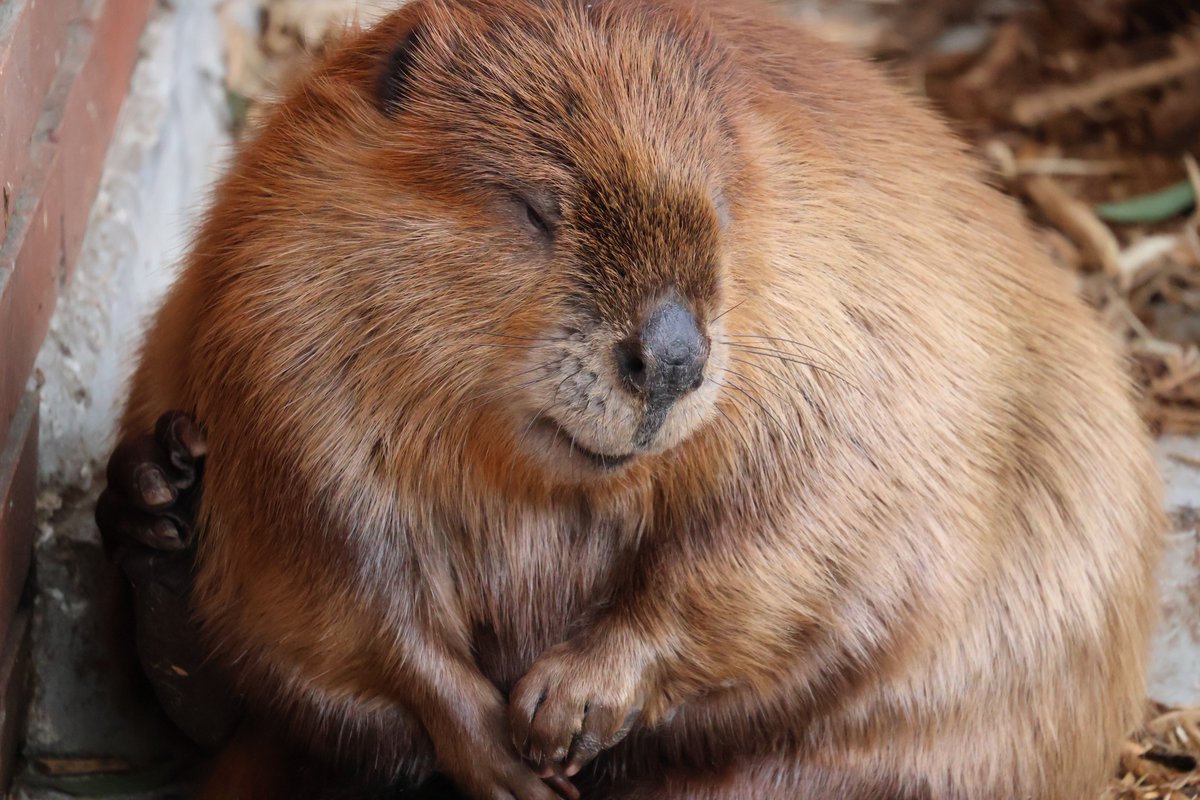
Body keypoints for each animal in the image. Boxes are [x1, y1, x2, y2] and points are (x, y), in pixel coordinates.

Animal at [105, 0, 1161, 796]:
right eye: (536, 208)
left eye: (726, 207)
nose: (672, 358)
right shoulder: (276, 341)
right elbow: (354, 586)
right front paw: (505, 758)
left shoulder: (856, 344)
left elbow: (779, 538)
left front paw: (564, 706)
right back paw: (156, 496)